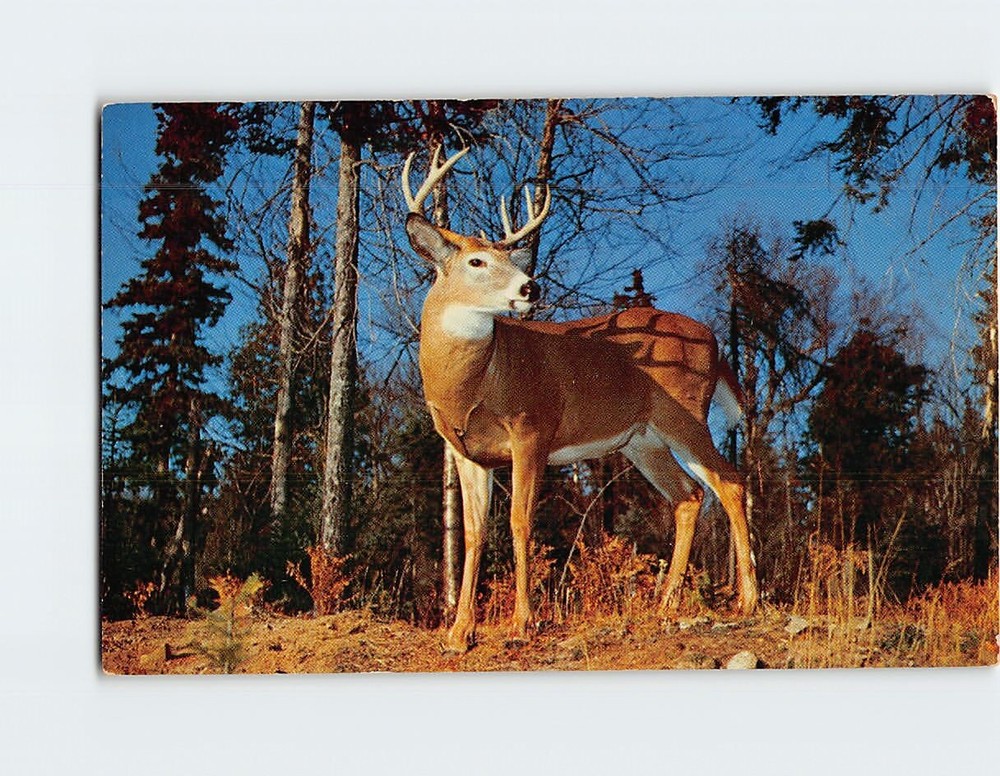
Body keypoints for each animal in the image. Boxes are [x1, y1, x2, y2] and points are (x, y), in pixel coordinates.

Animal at [402, 147, 758, 652]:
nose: (529, 287)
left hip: (685, 413)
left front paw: (522, 622)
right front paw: (459, 631)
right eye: (476, 262)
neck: (475, 383)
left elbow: (520, 521)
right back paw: (665, 605)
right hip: (642, 440)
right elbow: (472, 533)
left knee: (729, 481)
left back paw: (748, 600)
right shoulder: (466, 452)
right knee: (687, 495)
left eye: (509, 257)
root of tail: (715, 341)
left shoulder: (532, 428)